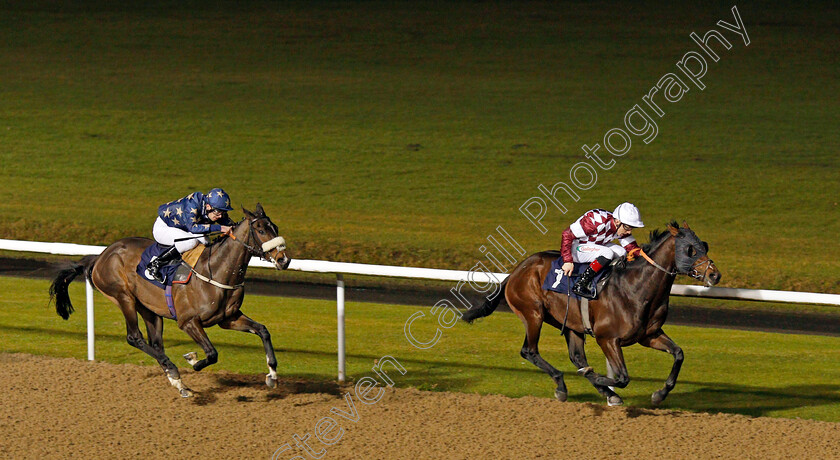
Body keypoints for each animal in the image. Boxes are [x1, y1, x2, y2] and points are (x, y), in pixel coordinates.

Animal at [50, 203, 292, 398]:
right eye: (260, 230)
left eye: (275, 228)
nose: (284, 260)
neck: (216, 270)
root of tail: (100, 256)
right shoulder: (188, 322)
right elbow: (212, 354)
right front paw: (192, 359)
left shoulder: (228, 318)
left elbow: (263, 330)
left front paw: (272, 375)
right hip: (123, 297)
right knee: (134, 337)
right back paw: (174, 370)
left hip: (149, 309)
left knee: (156, 343)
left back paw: (178, 382)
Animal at [462, 223, 720, 406]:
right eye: (690, 249)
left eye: (705, 245)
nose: (714, 275)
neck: (635, 287)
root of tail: (517, 269)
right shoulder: (608, 338)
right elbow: (622, 377)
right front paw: (599, 380)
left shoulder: (649, 335)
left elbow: (678, 354)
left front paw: (660, 394)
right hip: (532, 314)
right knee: (530, 351)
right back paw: (562, 385)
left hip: (570, 324)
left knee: (576, 357)